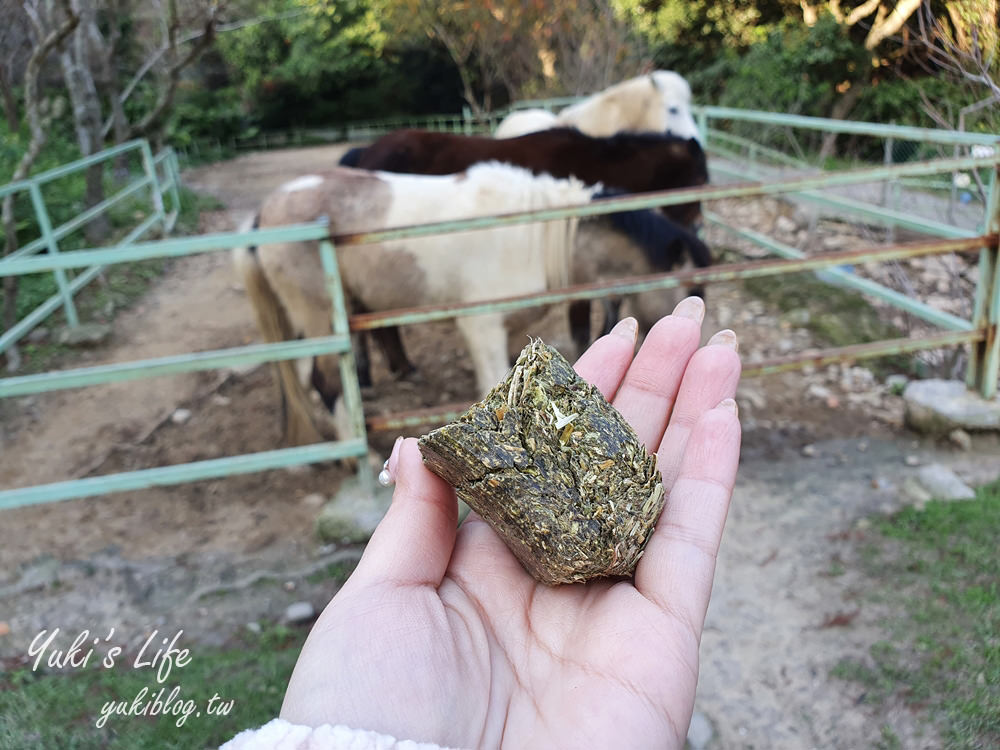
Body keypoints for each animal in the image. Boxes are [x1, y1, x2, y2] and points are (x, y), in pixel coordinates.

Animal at [233, 164, 708, 446]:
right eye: (688, 285)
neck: (541, 233)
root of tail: (261, 216)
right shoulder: (481, 328)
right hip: (321, 319)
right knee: (327, 381)